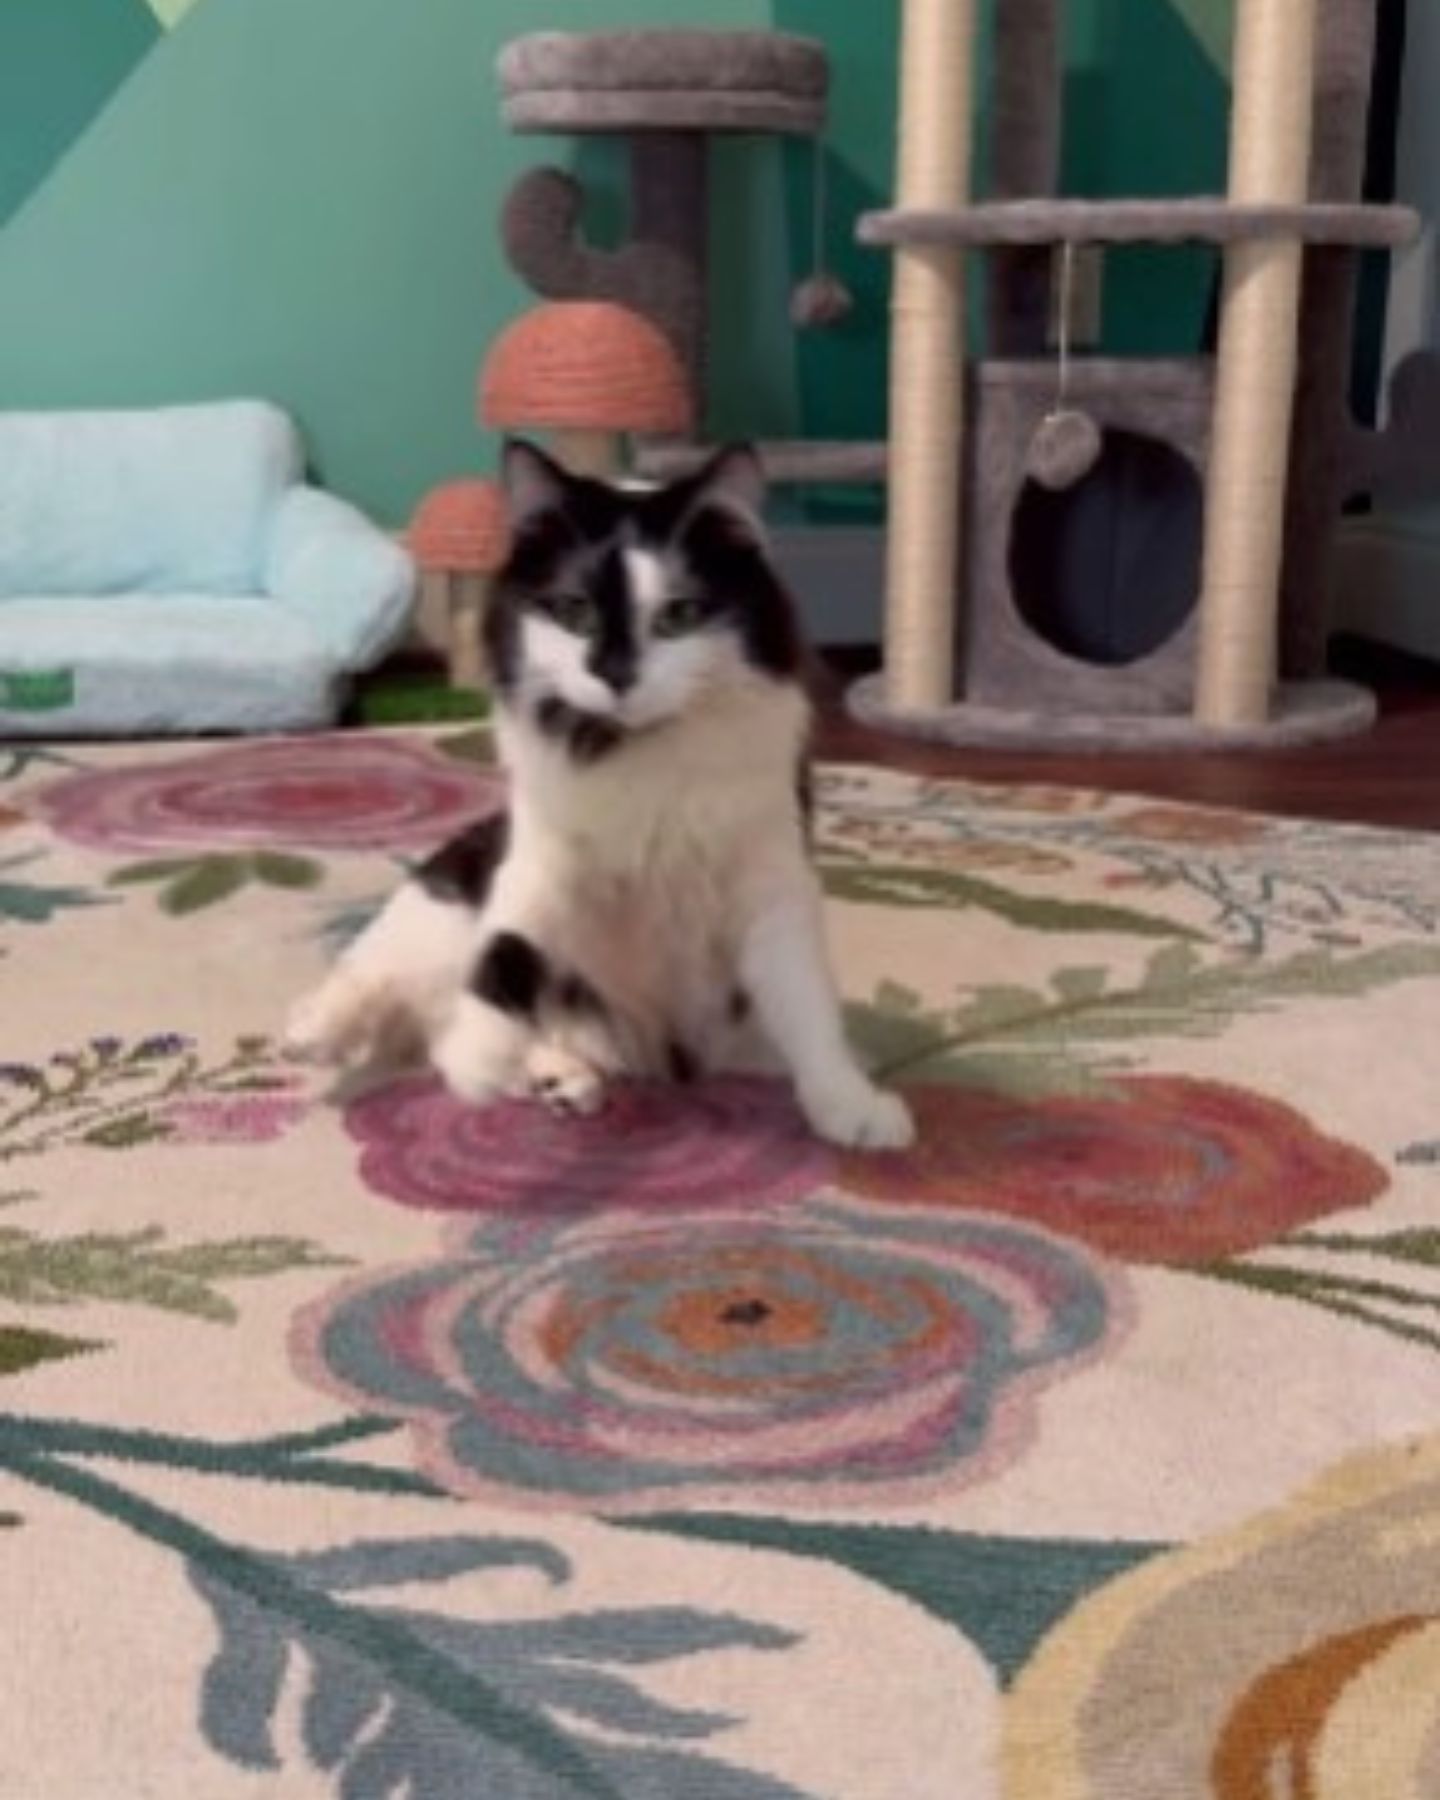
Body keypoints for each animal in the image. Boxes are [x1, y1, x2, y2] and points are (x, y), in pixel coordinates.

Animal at [284, 439, 910, 1152]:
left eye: (678, 616)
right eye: (573, 610)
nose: (614, 674)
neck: (638, 752)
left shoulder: (773, 886)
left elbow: (810, 1010)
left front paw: (850, 1106)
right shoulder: (541, 871)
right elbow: (503, 960)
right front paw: (483, 1055)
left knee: (454, 1033)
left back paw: (559, 1079)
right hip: (445, 899)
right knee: (380, 977)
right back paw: (319, 1030)